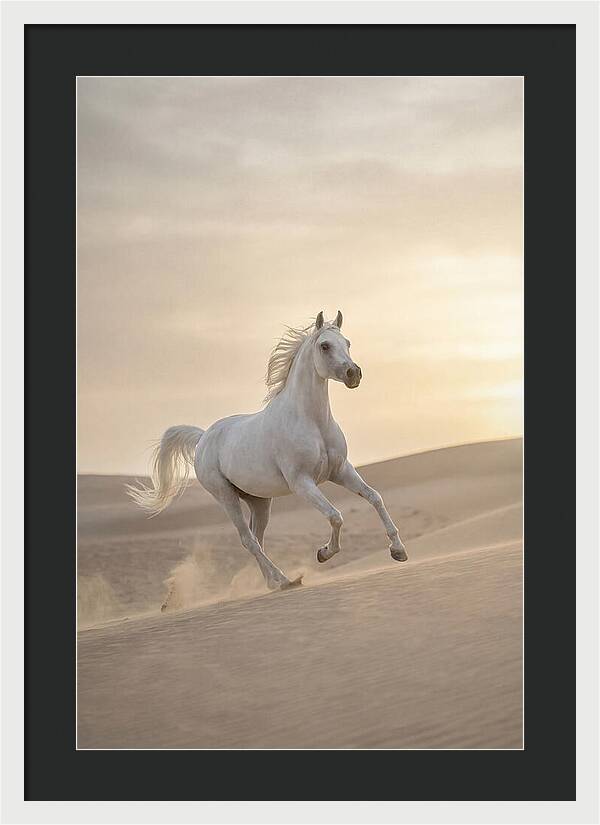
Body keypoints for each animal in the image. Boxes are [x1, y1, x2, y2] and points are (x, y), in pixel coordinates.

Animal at [127, 310, 408, 592]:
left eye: (347, 343)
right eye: (325, 346)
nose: (354, 374)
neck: (312, 421)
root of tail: (203, 437)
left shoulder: (340, 471)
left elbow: (374, 497)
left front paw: (398, 551)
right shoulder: (302, 483)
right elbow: (335, 515)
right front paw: (324, 553)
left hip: (259, 502)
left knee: (257, 538)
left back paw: (273, 582)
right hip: (225, 496)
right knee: (248, 540)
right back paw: (284, 580)